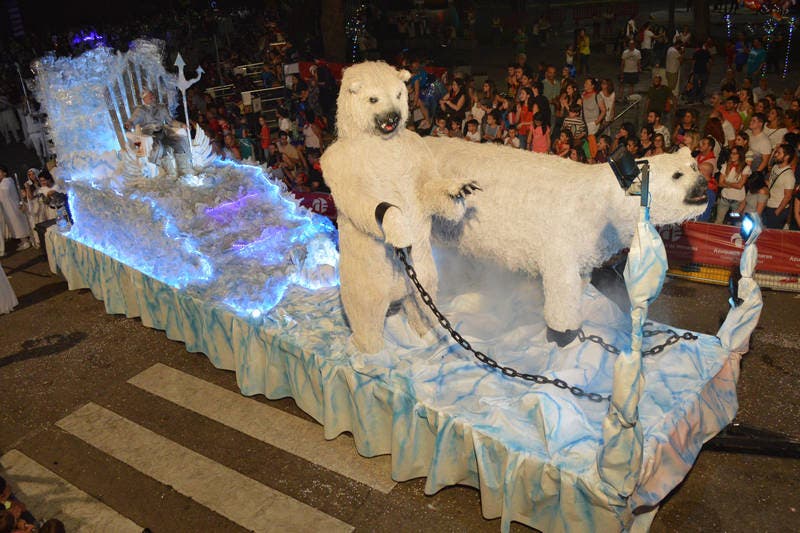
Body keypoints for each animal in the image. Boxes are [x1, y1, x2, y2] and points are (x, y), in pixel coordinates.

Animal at [320, 61, 482, 354]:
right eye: (373, 98)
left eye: (398, 94)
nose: (393, 117)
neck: (381, 142)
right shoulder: (342, 162)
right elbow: (362, 201)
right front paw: (397, 228)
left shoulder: (415, 150)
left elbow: (426, 187)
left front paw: (460, 190)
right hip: (366, 277)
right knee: (365, 314)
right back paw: (368, 350)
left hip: (421, 272)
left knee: (420, 301)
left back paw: (426, 336)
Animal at [424, 137, 708, 344]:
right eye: (677, 175)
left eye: (693, 166)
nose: (704, 184)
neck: (599, 204)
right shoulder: (561, 240)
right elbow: (561, 289)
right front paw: (562, 335)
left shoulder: (586, 248)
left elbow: (579, 282)